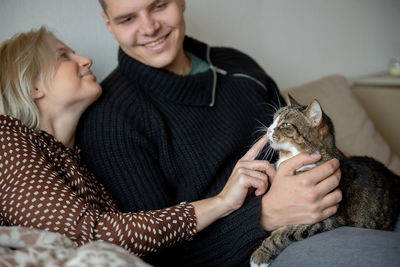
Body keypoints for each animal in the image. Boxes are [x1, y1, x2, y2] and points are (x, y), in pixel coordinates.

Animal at [250, 95, 400, 266]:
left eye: (285, 124)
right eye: (273, 120)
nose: (268, 130)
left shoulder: (327, 218)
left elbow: (285, 233)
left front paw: (260, 254)